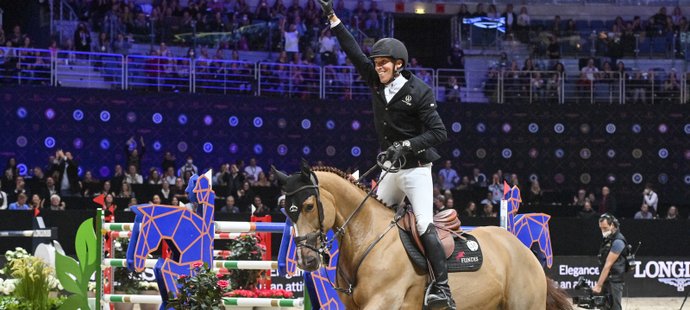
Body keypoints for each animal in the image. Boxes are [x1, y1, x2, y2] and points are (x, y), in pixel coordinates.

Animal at [272, 163, 568, 308]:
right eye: (285, 209)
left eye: (309, 206)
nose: (306, 260)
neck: (368, 238)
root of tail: (522, 248)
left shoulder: (383, 302)